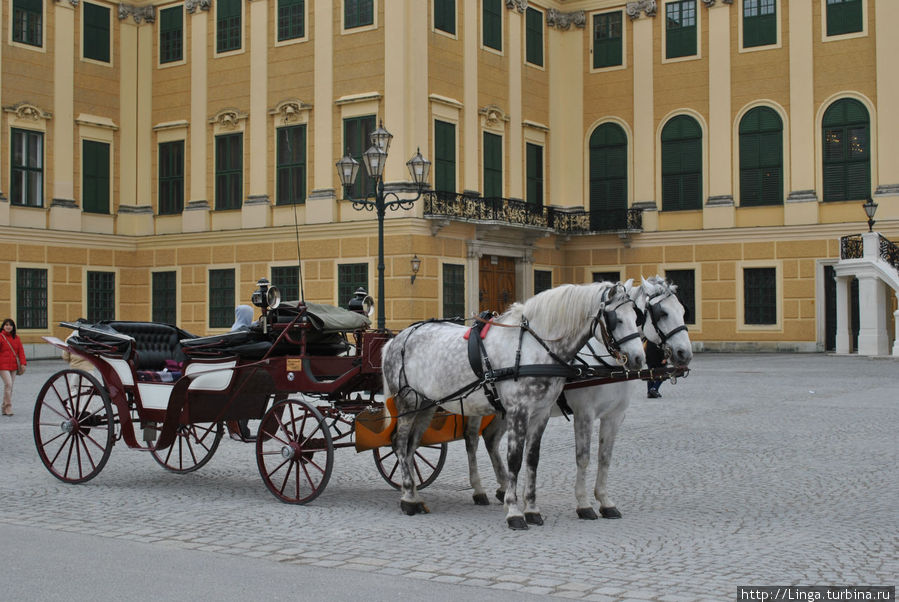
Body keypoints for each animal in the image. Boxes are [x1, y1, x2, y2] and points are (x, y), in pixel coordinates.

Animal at [382, 278, 648, 528]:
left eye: (637, 316)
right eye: (616, 320)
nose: (638, 359)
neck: (534, 347)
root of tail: (397, 338)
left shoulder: (541, 413)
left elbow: (533, 459)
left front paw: (532, 509)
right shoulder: (526, 412)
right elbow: (516, 459)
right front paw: (514, 511)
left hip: (427, 405)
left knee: (414, 447)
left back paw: (415, 494)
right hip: (408, 403)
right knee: (400, 443)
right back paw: (408, 499)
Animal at [464, 274, 696, 516]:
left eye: (682, 310)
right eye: (663, 313)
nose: (685, 353)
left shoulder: (615, 415)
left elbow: (605, 457)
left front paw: (605, 501)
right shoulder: (584, 413)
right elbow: (583, 457)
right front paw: (584, 503)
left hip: (501, 409)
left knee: (490, 439)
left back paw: (502, 488)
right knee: (472, 440)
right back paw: (479, 489)